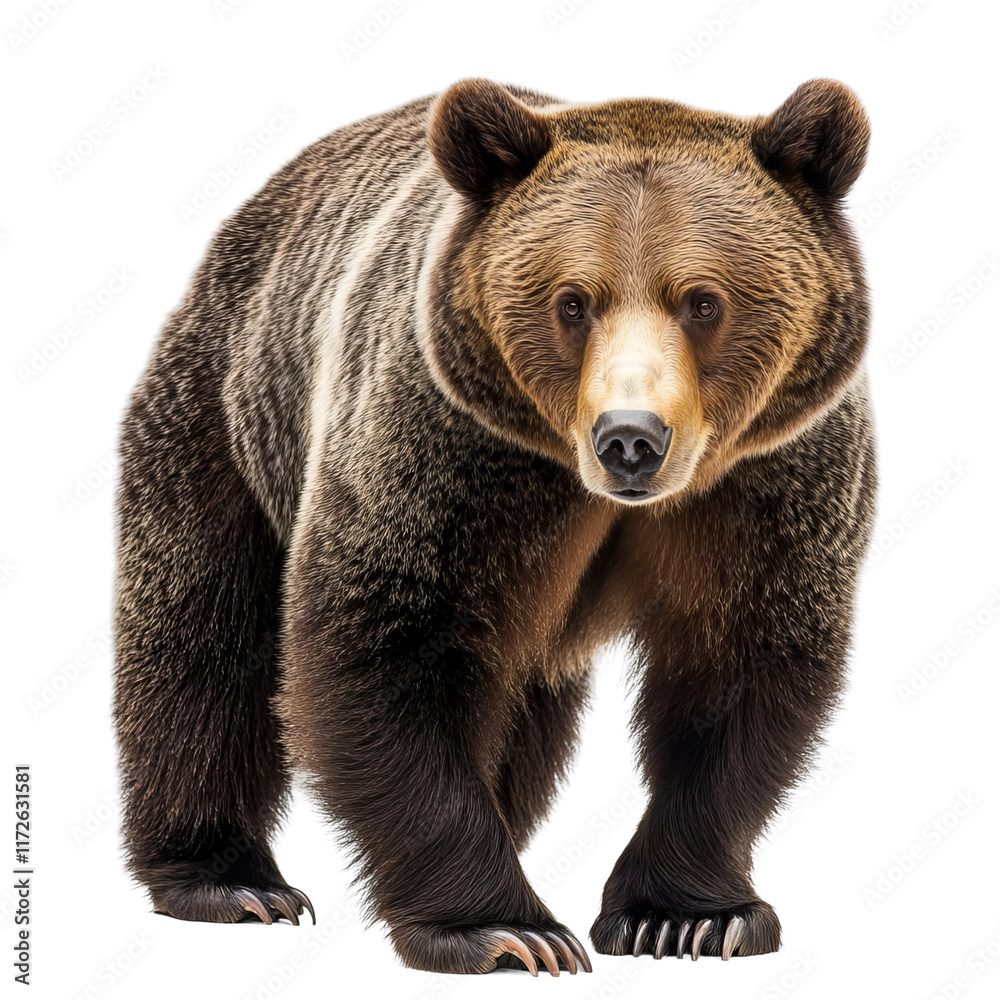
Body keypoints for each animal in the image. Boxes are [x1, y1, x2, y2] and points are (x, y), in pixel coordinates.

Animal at [113, 77, 877, 976]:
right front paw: (505, 930)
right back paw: (230, 881)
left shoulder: (765, 482)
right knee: (203, 640)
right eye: (573, 301)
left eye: (702, 300)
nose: (630, 439)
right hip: (232, 413)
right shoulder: (446, 453)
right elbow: (384, 646)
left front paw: (688, 919)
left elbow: (739, 673)